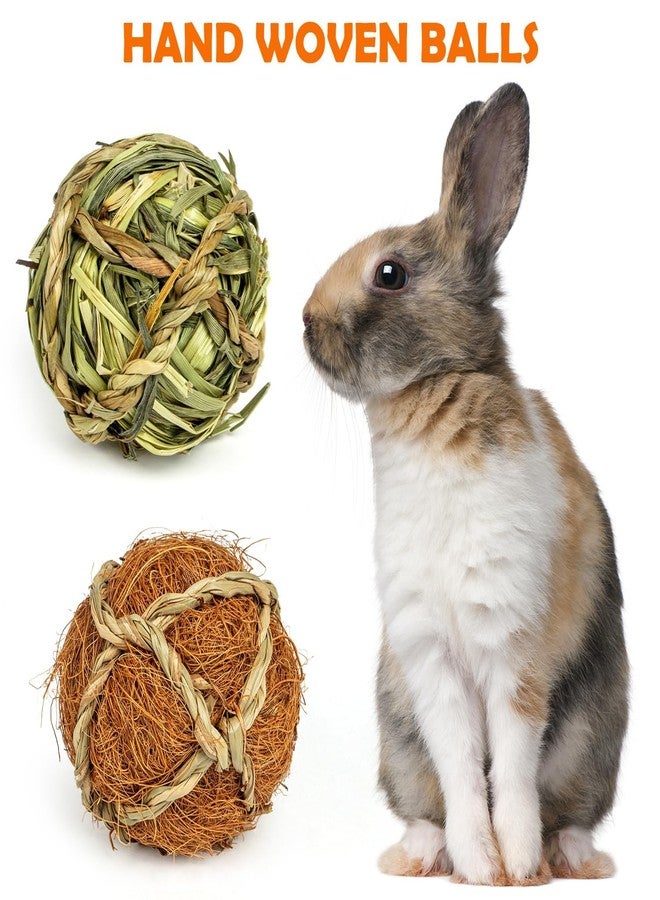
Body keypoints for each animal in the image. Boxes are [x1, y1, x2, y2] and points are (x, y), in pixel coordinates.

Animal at [302, 83, 628, 885]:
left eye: (390, 273)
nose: (305, 324)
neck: (429, 400)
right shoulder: (428, 658)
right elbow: (460, 770)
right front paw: (479, 865)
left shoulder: (512, 647)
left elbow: (508, 764)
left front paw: (514, 866)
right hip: (397, 737)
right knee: (424, 800)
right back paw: (416, 855)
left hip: (592, 744)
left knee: (568, 810)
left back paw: (569, 858)